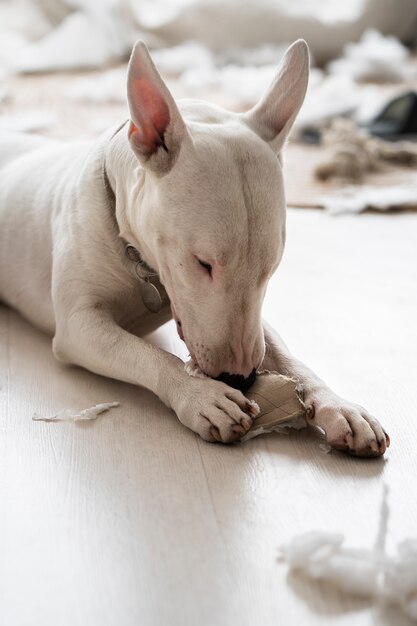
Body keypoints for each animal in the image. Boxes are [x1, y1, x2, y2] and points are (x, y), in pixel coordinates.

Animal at [0, 40, 388, 454]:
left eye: (270, 269)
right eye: (203, 263)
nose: (241, 379)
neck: (137, 258)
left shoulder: (254, 322)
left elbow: (287, 354)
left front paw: (340, 407)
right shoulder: (78, 326)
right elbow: (143, 353)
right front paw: (202, 397)